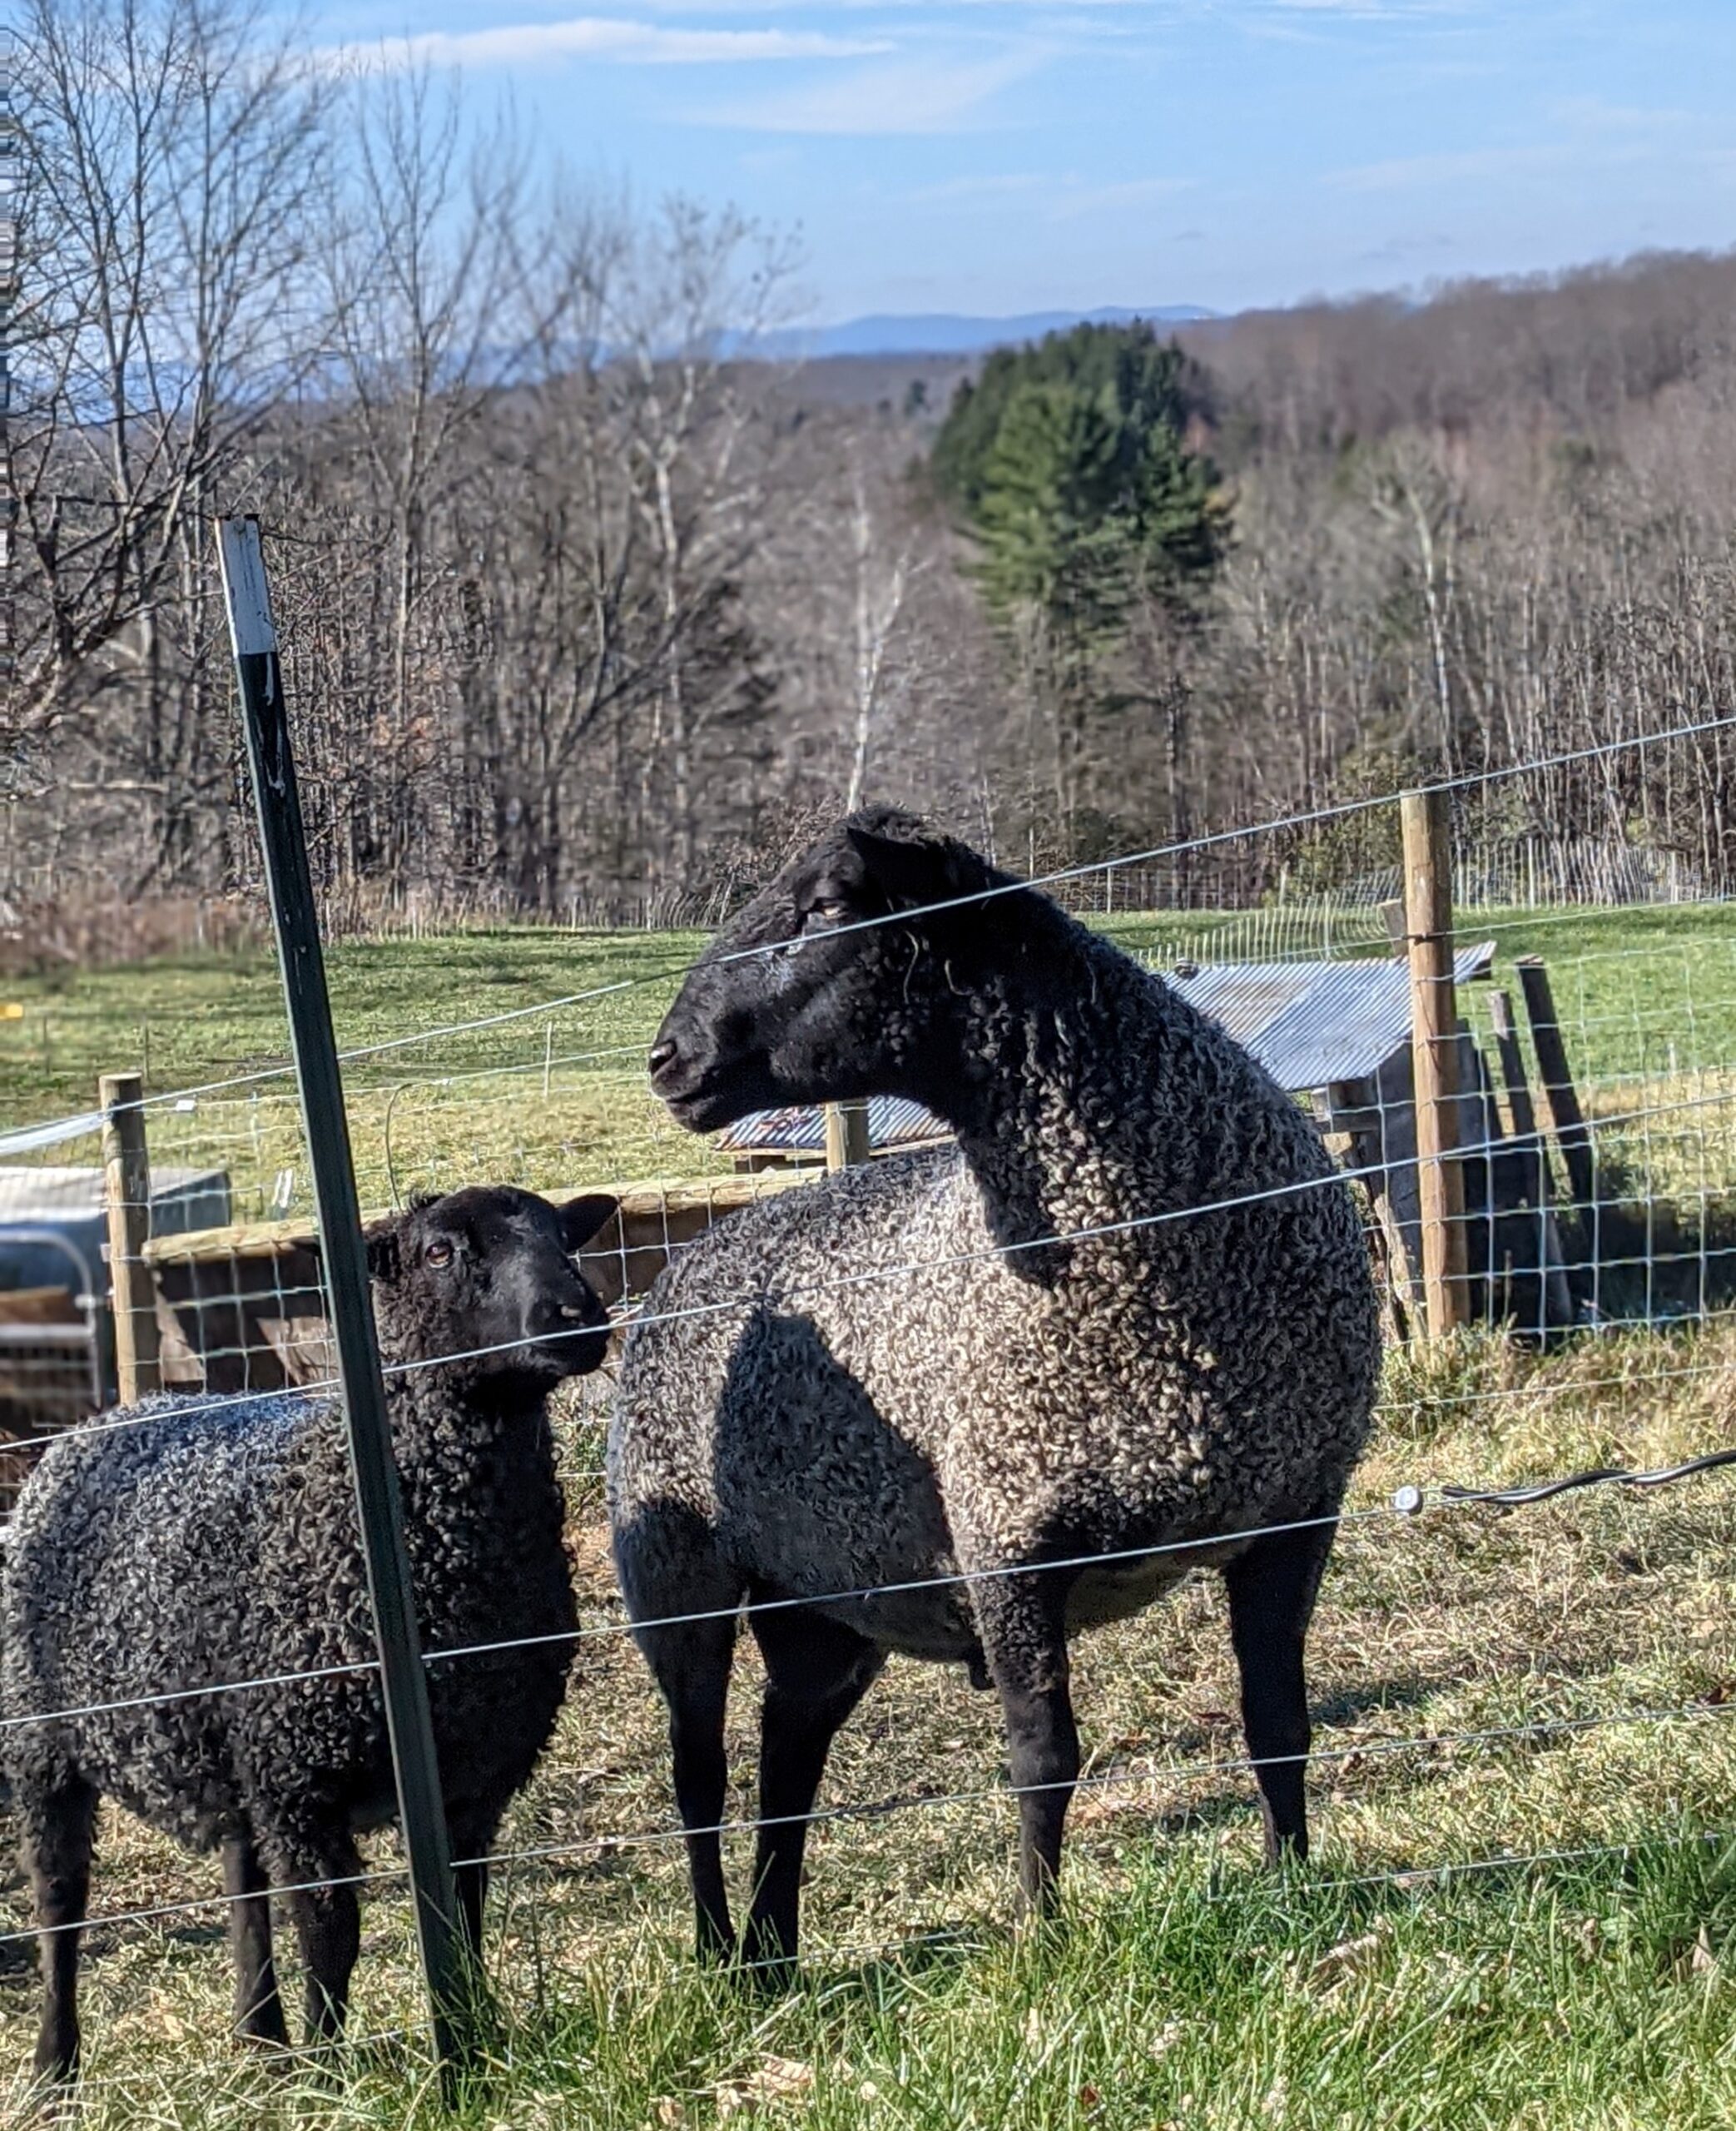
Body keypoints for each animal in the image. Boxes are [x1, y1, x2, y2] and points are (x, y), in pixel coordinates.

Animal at [609, 805, 1388, 1969]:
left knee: (787, 1761)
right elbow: (1042, 1755)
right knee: (697, 1773)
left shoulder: (1295, 1511)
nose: (669, 1060)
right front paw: (1042, 1937)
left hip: (825, 1601)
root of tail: (682, 1264)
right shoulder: (1006, 1537)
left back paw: (774, 1956)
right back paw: (714, 1954)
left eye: (828, 904)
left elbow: (1277, 1722)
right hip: (673, 1571)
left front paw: (1293, 1885)